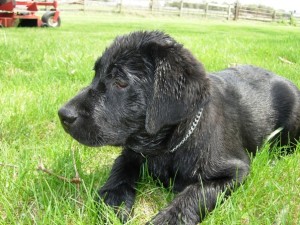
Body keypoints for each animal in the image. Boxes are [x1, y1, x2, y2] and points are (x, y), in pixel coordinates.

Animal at [58, 30, 300, 224]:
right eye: (96, 73)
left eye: (120, 82)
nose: (63, 114)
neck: (169, 146)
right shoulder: (129, 154)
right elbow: (119, 174)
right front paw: (112, 205)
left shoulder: (235, 171)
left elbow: (193, 195)